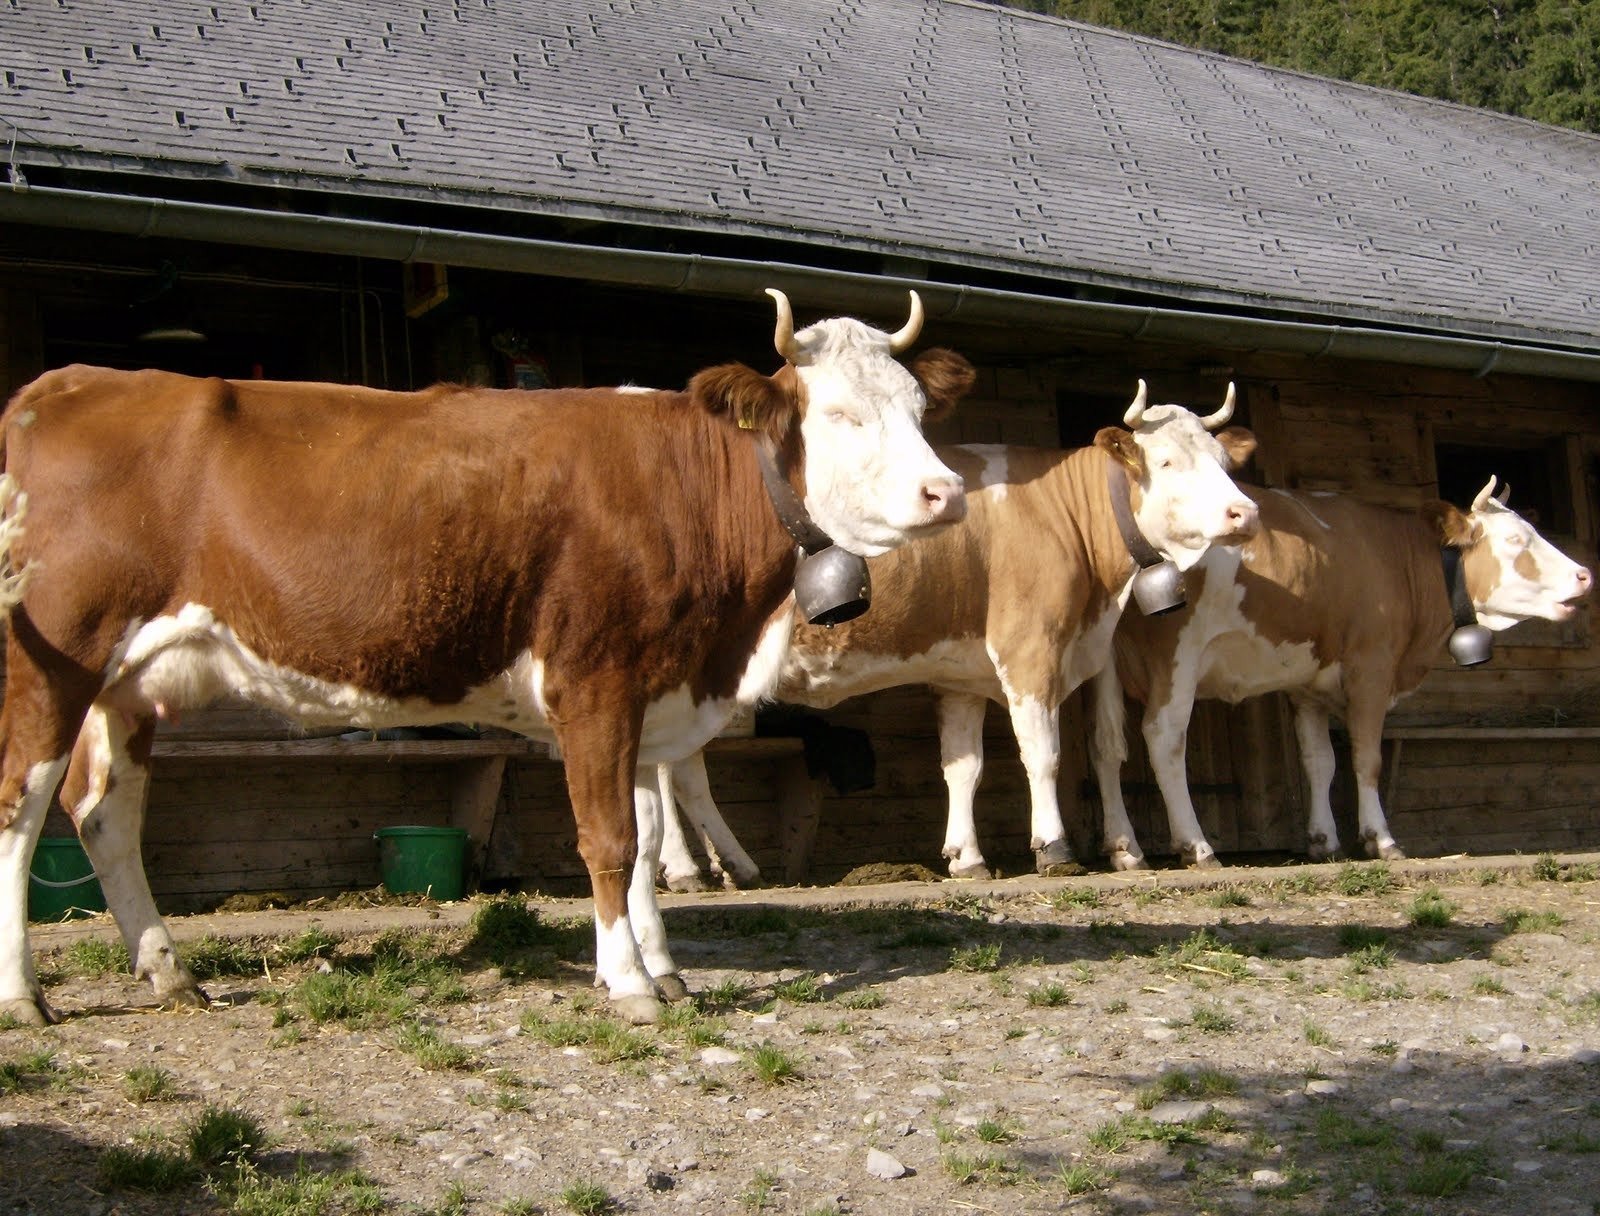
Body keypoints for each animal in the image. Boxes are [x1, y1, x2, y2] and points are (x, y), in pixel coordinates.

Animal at [0, 289, 975, 1027]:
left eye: (919, 411)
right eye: (840, 415)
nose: (949, 492)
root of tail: (66, 382)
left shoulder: (650, 689)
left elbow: (647, 838)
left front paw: (662, 969)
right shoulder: (595, 680)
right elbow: (609, 840)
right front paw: (628, 983)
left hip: (129, 683)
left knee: (104, 815)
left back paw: (169, 971)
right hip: (56, 657)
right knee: (21, 806)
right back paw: (23, 997)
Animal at [649, 382, 1261, 885]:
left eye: (1223, 461)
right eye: (1167, 460)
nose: (1246, 513)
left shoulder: (961, 674)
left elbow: (963, 767)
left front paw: (967, 858)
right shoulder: (1030, 648)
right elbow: (1043, 753)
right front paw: (1054, 848)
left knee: (680, 773)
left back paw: (730, 867)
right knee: (666, 771)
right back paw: (689, 870)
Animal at [1091, 478, 1594, 870]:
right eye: (1515, 541)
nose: (1585, 575)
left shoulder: (1307, 685)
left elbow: (1319, 760)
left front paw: (1323, 840)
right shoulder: (1372, 667)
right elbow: (1365, 758)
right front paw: (1381, 839)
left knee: (1106, 748)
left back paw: (1125, 850)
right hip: (1176, 656)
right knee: (1163, 738)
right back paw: (1196, 846)